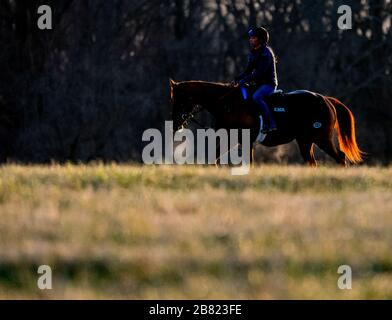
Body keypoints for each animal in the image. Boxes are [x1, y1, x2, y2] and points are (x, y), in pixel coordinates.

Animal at [169, 79, 364, 166]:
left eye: (180, 99)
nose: (176, 123)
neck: (228, 103)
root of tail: (326, 100)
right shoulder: (232, 140)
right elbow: (214, 158)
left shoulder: (242, 140)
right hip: (305, 141)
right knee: (313, 162)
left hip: (321, 139)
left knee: (340, 157)